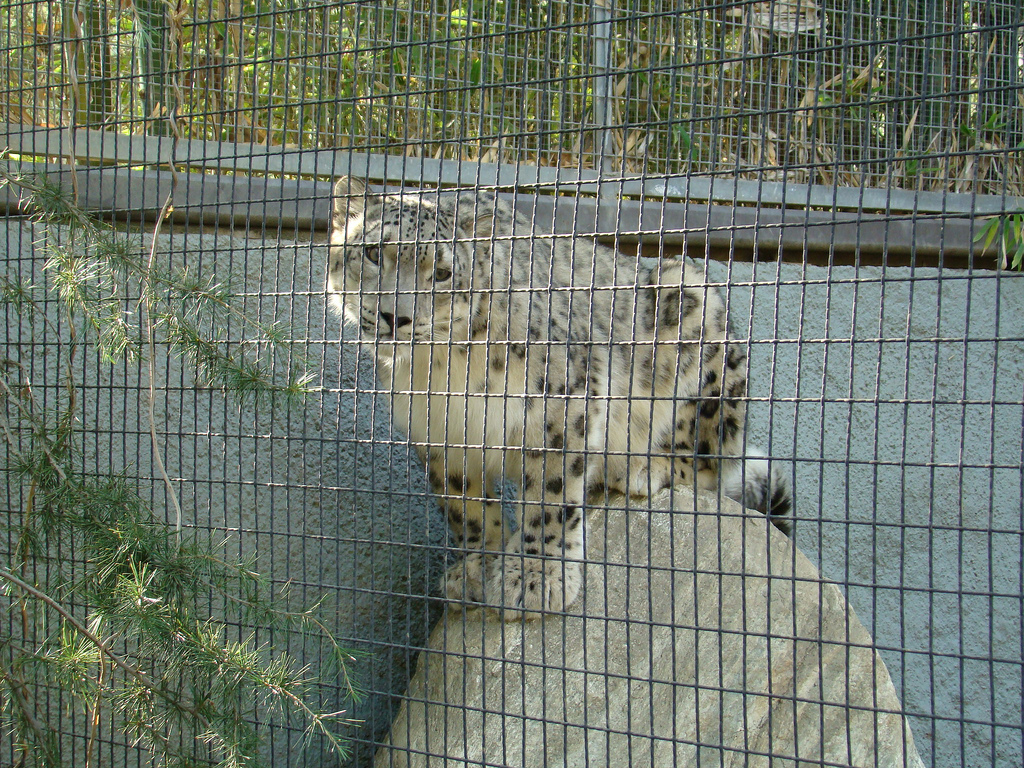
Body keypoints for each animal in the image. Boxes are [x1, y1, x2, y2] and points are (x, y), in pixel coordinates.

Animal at [327, 176, 791, 618]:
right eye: (373, 252)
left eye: (441, 273)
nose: (395, 316)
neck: (443, 368)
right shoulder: (439, 432)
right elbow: (465, 508)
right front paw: (478, 569)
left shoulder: (560, 401)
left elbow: (550, 494)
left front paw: (534, 578)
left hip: (696, 310)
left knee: (710, 463)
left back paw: (642, 466)